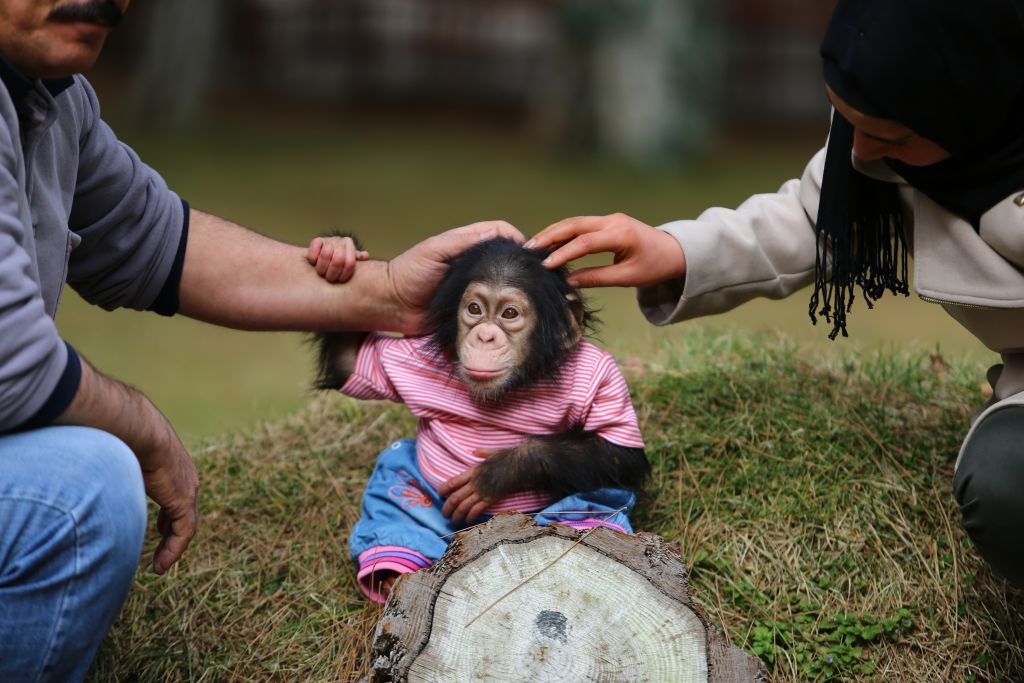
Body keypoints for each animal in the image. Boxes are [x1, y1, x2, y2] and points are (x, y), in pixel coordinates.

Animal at [311, 236, 649, 602]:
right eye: (475, 309)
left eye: (509, 313)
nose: (485, 335)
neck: (513, 385)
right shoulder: (406, 361)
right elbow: (350, 363)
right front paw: (336, 254)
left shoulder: (600, 373)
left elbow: (620, 451)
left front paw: (499, 471)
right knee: (396, 489)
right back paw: (388, 573)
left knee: (601, 493)